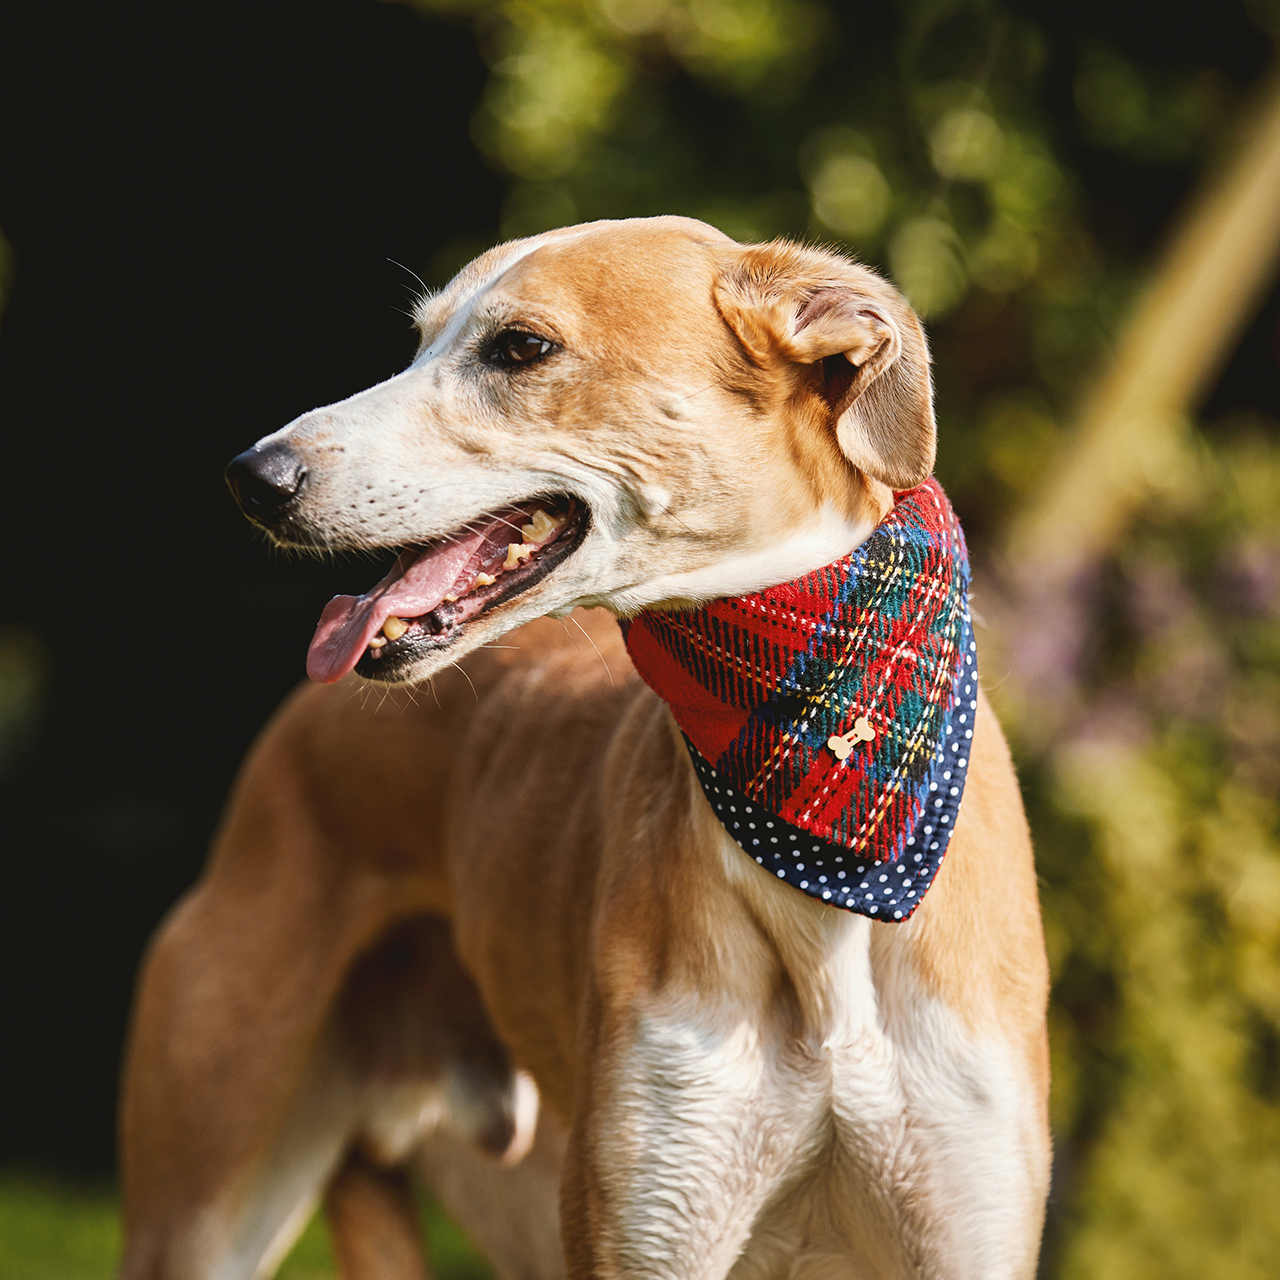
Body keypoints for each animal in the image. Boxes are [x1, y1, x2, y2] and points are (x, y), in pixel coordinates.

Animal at [117, 220, 1049, 1280]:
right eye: (418, 343)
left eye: (521, 347)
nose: (254, 476)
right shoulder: (645, 1230)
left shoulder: (966, 1227)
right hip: (213, 1204)